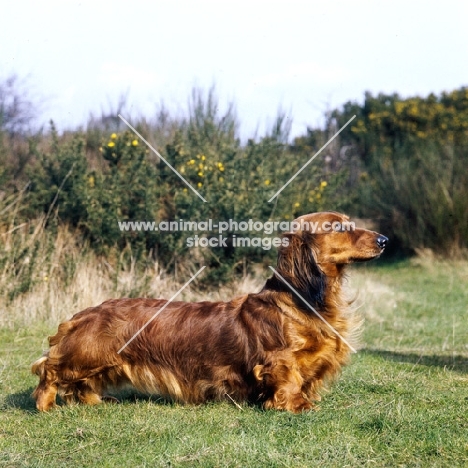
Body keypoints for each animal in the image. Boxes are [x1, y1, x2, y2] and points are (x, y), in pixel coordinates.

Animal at [31, 212, 386, 414]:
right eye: (339, 226)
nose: (384, 239)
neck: (300, 300)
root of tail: (82, 314)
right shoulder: (280, 361)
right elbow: (289, 382)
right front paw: (296, 405)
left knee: (80, 386)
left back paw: (97, 401)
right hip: (87, 355)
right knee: (49, 369)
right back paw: (45, 405)